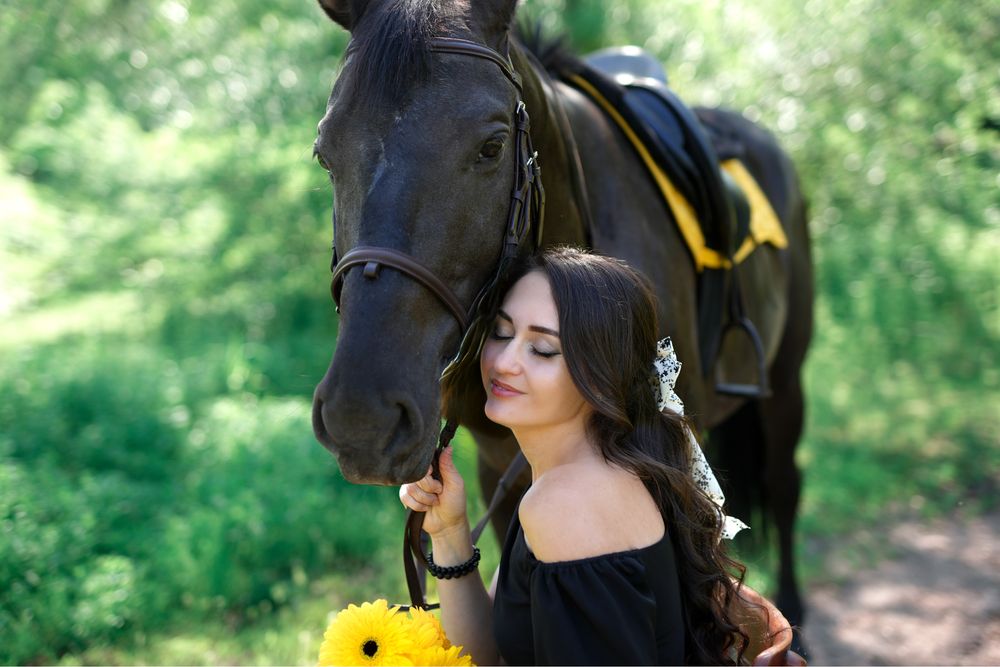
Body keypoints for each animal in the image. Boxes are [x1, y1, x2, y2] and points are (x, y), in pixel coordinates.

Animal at [308, 0, 814, 635]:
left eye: (492, 146)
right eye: (326, 152)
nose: (362, 417)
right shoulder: (500, 467)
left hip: (787, 378)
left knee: (784, 484)